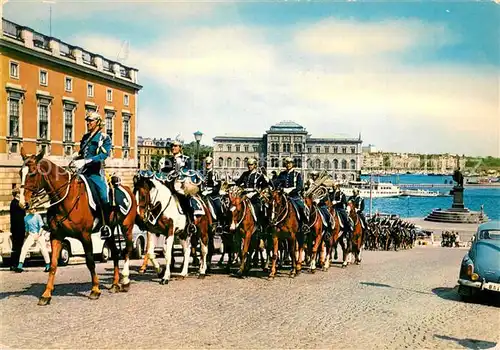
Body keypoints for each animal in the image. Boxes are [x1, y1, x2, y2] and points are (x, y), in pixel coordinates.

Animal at [18, 148, 137, 306]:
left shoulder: (85, 236)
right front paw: (46, 294)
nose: (22, 203)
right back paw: (114, 284)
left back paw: (125, 280)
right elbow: (53, 264)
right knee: (116, 252)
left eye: (32, 173)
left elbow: (90, 262)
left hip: (126, 227)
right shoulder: (56, 236)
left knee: (127, 251)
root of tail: (127, 188)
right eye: (20, 172)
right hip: (109, 231)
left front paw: (95, 289)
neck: (66, 198)